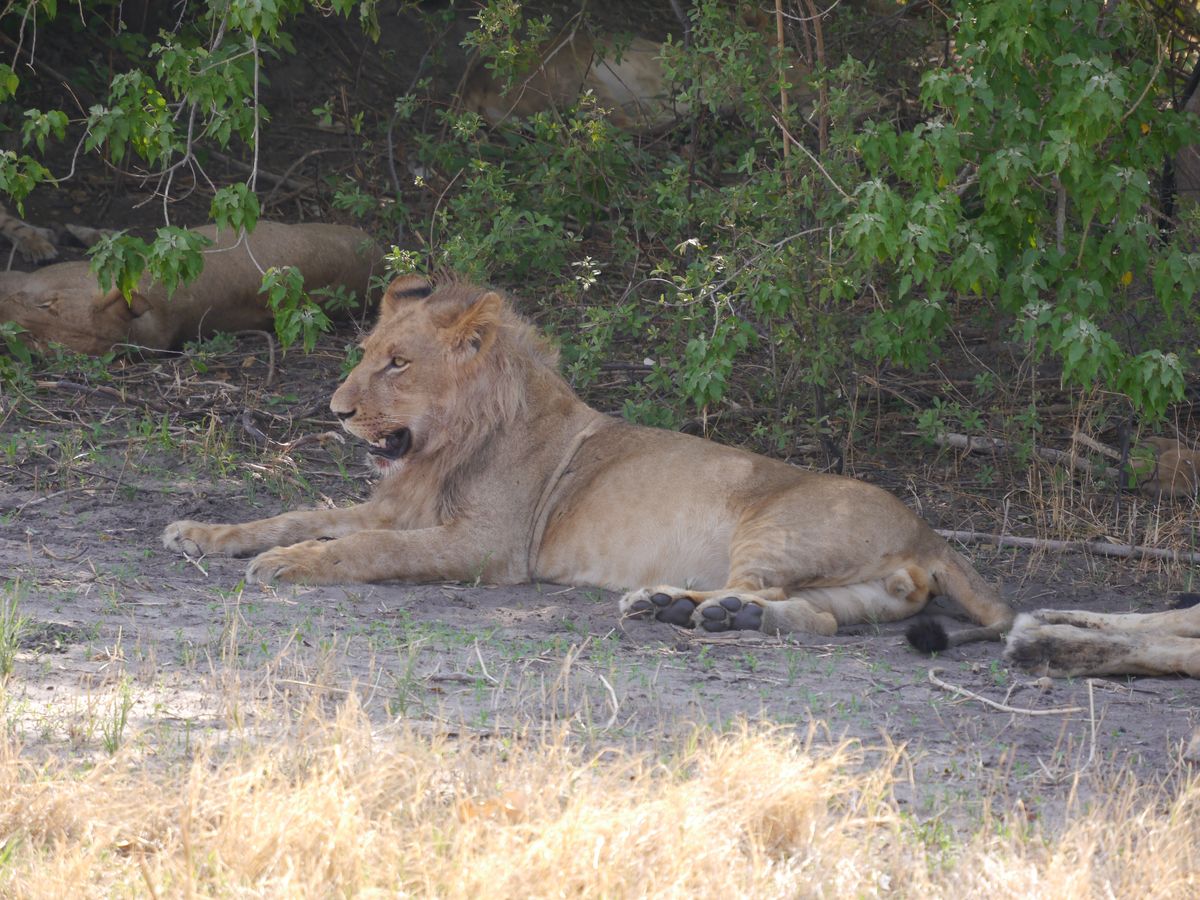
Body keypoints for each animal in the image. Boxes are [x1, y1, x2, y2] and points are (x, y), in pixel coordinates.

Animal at [162, 275, 1015, 643]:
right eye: (367, 354)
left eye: (398, 365)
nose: (335, 411)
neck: (448, 445)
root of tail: (930, 535)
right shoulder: (393, 504)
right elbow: (295, 511)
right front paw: (200, 534)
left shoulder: (490, 547)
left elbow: (363, 549)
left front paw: (291, 564)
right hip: (859, 584)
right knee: (823, 616)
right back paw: (711, 614)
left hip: (778, 525)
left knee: (772, 591)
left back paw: (673, 604)